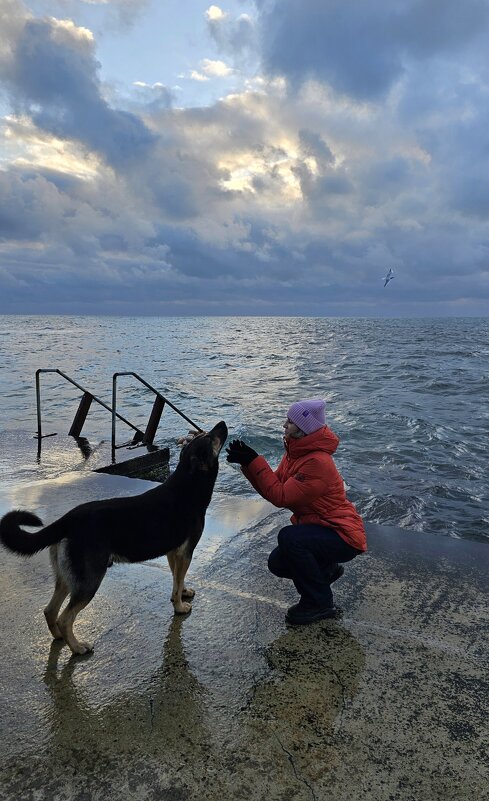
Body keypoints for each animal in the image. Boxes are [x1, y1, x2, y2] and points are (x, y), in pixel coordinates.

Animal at [0, 422, 228, 652]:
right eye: (210, 438)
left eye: (205, 435)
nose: (222, 425)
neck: (188, 483)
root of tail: (68, 520)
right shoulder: (185, 552)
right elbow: (178, 579)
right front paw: (180, 607)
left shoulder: (173, 552)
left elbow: (176, 580)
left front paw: (181, 593)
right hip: (89, 580)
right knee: (65, 618)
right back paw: (77, 647)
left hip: (67, 577)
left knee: (50, 611)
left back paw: (60, 638)